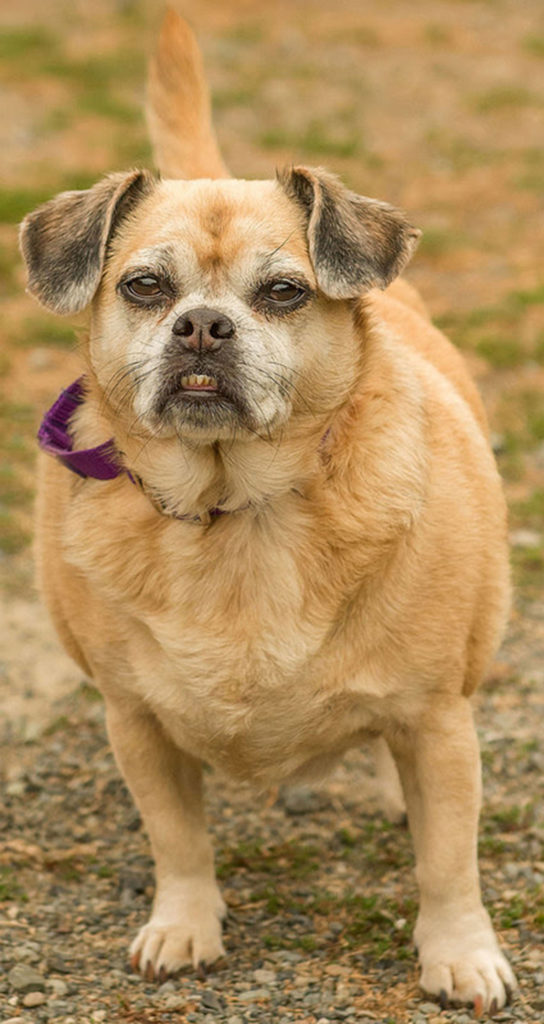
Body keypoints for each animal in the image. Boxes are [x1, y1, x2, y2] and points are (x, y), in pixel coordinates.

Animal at [20, 9, 514, 1015]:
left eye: (283, 292)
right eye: (144, 287)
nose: (204, 326)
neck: (238, 508)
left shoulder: (439, 720)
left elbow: (449, 860)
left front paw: (458, 953)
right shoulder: (135, 721)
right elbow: (177, 839)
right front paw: (185, 926)